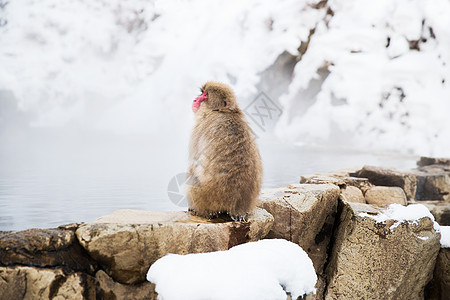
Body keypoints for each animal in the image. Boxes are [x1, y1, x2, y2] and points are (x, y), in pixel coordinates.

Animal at [186, 81, 264, 220]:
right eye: (202, 93)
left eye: (205, 95)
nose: (195, 99)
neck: (223, 111)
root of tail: (236, 207)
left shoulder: (199, 128)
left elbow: (194, 161)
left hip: (205, 197)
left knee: (192, 178)